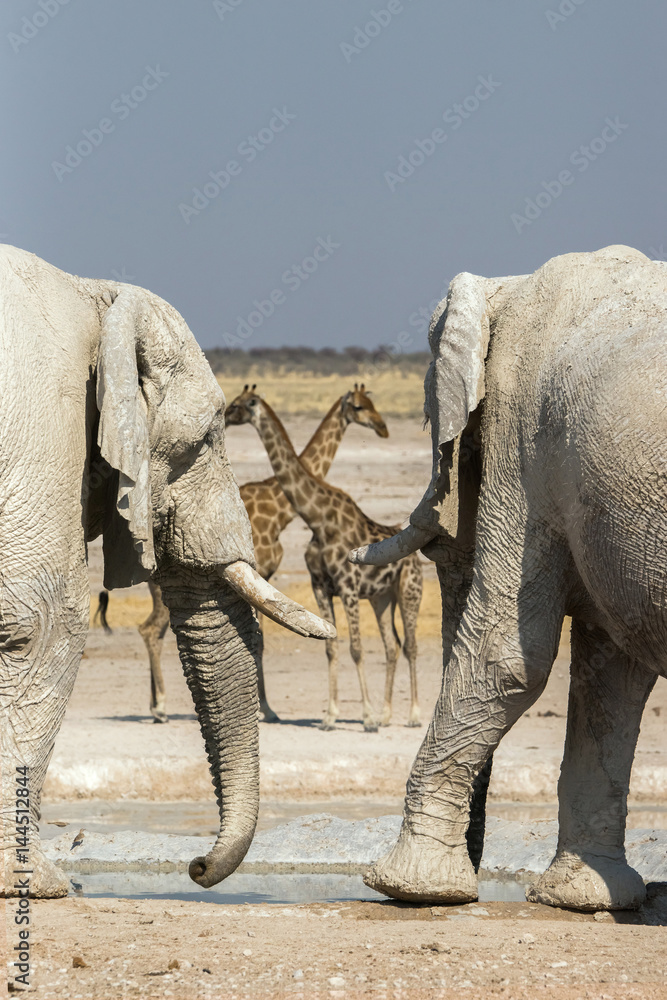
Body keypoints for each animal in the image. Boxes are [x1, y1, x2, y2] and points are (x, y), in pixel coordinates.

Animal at [0, 244, 334, 898]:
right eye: (204, 439)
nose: (197, 866)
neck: (97, 295)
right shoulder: (44, 425)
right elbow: (43, 625)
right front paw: (38, 885)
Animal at [121, 384, 389, 723]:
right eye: (358, 407)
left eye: (370, 403)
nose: (383, 428)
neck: (279, 507)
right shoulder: (260, 574)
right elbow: (258, 640)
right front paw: (268, 709)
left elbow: (258, 640)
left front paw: (266, 707)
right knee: (150, 631)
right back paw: (160, 707)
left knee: (150, 631)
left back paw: (155, 705)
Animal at [226, 386, 423, 732]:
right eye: (359, 406)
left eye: (239, 404)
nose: (383, 428)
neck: (317, 519)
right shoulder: (320, 586)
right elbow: (330, 647)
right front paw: (331, 716)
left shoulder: (347, 586)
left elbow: (355, 648)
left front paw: (366, 717)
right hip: (382, 598)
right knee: (392, 645)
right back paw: (387, 714)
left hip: (407, 592)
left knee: (409, 645)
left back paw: (411, 715)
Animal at [351, 245, 667, 912]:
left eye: (435, 424)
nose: (474, 889)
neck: (508, 285)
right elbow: (614, 678)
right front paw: (583, 900)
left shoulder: (525, 440)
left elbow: (509, 656)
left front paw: (406, 887)